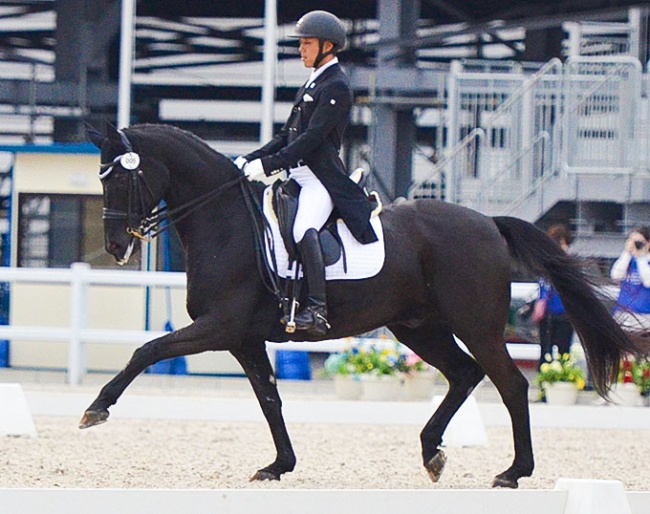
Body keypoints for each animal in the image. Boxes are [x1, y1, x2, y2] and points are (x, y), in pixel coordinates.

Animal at [83, 122, 644, 486]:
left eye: (120, 177)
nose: (115, 246)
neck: (228, 223)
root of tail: (488, 222)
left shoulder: (219, 327)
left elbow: (147, 351)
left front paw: (96, 408)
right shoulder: (244, 338)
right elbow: (269, 399)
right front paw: (278, 465)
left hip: (477, 324)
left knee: (510, 384)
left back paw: (513, 471)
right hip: (418, 327)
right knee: (464, 374)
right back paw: (432, 452)